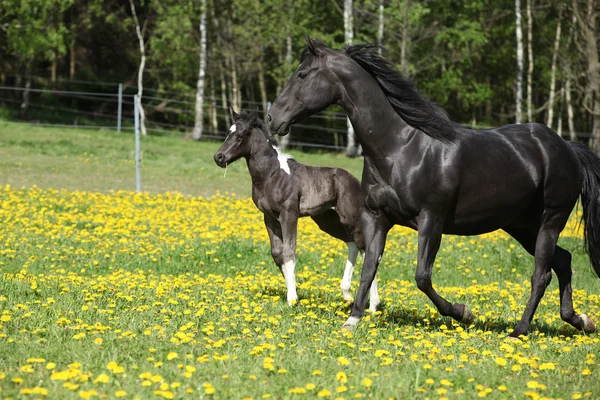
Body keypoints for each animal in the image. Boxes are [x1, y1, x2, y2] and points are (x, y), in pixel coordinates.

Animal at [214, 109, 380, 310]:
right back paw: (347, 295)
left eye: (240, 137)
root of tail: (355, 182)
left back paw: (373, 305)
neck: (271, 174)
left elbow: (289, 252)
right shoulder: (269, 217)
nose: (219, 157)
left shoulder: (289, 213)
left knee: (366, 248)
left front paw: (292, 298)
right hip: (327, 220)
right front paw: (294, 294)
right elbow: (277, 254)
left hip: (350, 217)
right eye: (227, 134)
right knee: (353, 244)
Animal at [270, 37, 600, 338]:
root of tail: (567, 147)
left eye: (302, 75)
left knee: (541, 274)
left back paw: (519, 330)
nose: (274, 119)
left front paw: (463, 313)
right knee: (564, 261)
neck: (400, 147)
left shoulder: (432, 219)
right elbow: (369, 268)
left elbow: (422, 277)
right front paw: (353, 320)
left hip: (550, 221)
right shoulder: (376, 218)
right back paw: (581, 321)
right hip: (522, 226)